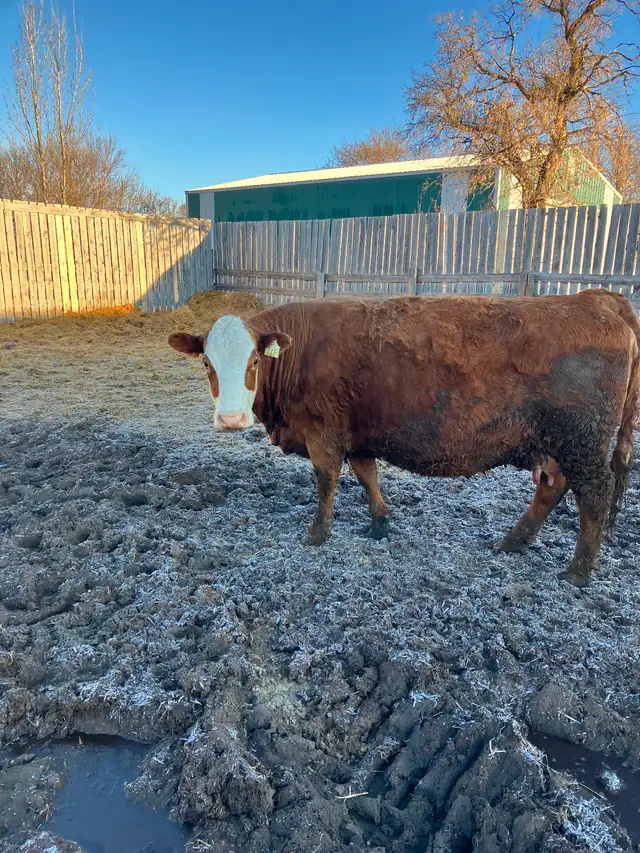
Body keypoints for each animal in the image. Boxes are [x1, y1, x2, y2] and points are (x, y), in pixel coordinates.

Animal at [168, 290, 640, 588]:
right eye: (207, 363)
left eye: (253, 361)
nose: (231, 419)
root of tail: (594, 298)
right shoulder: (357, 433)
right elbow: (367, 474)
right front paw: (380, 523)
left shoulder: (323, 432)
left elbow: (326, 481)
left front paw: (317, 533)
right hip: (556, 444)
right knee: (552, 488)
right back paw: (513, 541)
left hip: (583, 441)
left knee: (594, 495)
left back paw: (579, 571)